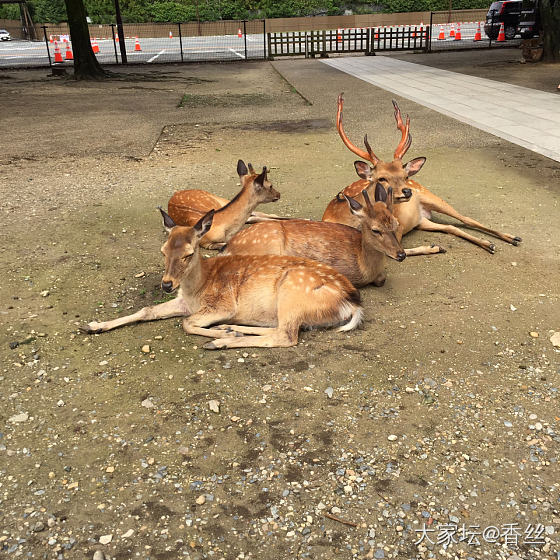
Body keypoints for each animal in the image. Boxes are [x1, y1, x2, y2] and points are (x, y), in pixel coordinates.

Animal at [83, 210, 364, 350]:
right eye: (163, 250)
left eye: (189, 253)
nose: (166, 284)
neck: (197, 289)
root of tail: (353, 304)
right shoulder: (183, 302)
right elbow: (147, 310)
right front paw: (94, 325)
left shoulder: (223, 304)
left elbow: (186, 323)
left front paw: (216, 332)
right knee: (277, 329)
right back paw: (231, 330)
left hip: (293, 292)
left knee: (285, 336)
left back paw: (221, 340)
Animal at [322, 94, 524, 256]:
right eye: (381, 178)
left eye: (404, 175)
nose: (407, 192)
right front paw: (436, 247)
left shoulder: (398, 228)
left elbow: (398, 250)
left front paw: (434, 247)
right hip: (422, 220)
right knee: (450, 227)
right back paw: (489, 244)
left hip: (430, 196)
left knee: (465, 219)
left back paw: (511, 238)